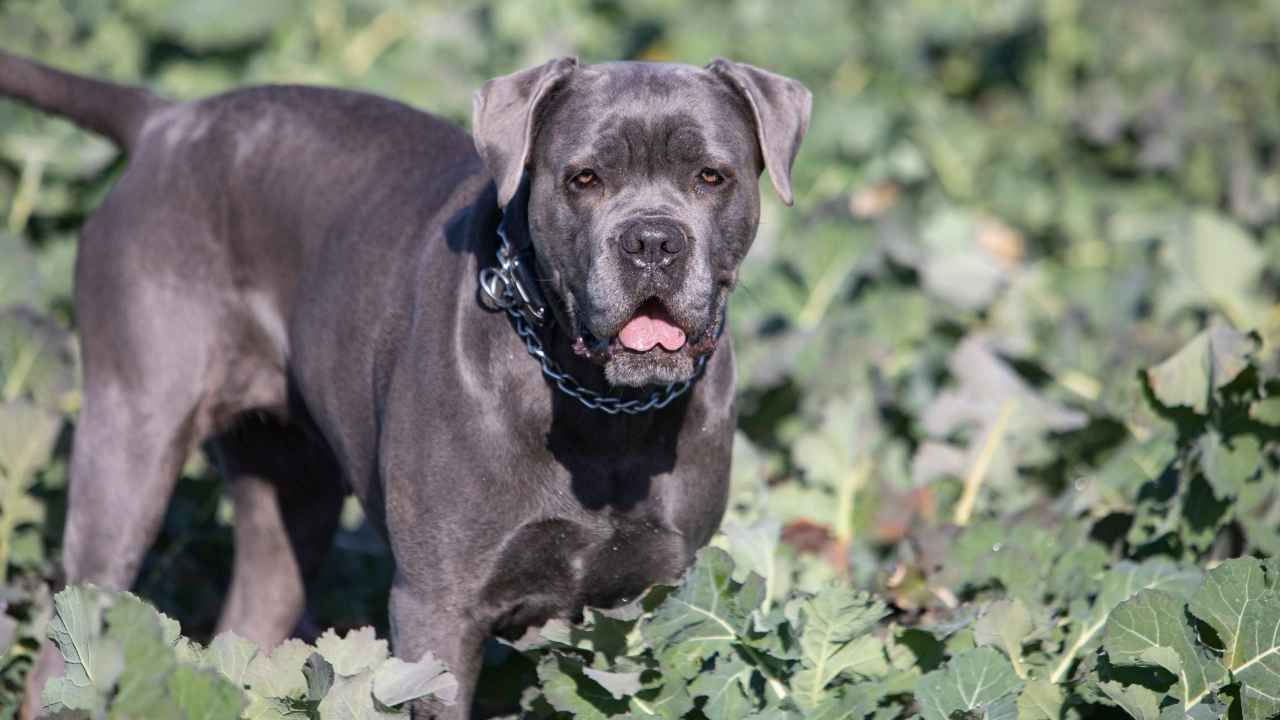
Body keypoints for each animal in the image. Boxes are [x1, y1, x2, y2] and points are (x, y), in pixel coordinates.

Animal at [2, 51, 808, 717]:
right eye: (585, 178)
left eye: (711, 176)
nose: (652, 240)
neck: (600, 404)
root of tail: (165, 120)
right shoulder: (436, 607)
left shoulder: (653, 602)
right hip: (130, 443)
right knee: (67, 644)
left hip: (290, 489)